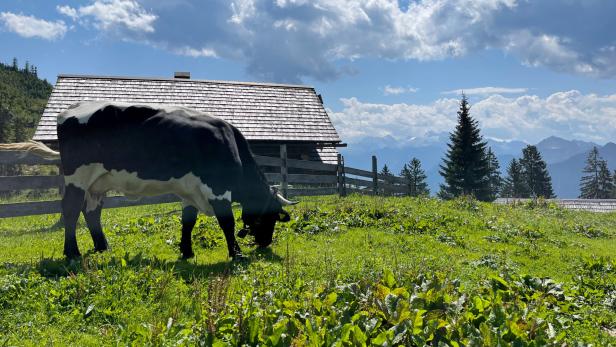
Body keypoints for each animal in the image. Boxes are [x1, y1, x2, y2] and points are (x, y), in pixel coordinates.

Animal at [10, 103, 296, 260]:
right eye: (270, 218)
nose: (265, 242)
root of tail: (70, 110)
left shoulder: (189, 190)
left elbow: (188, 222)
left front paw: (187, 251)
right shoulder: (216, 188)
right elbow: (227, 222)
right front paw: (236, 254)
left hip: (98, 182)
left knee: (92, 212)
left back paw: (103, 247)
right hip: (78, 176)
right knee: (70, 210)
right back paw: (72, 252)